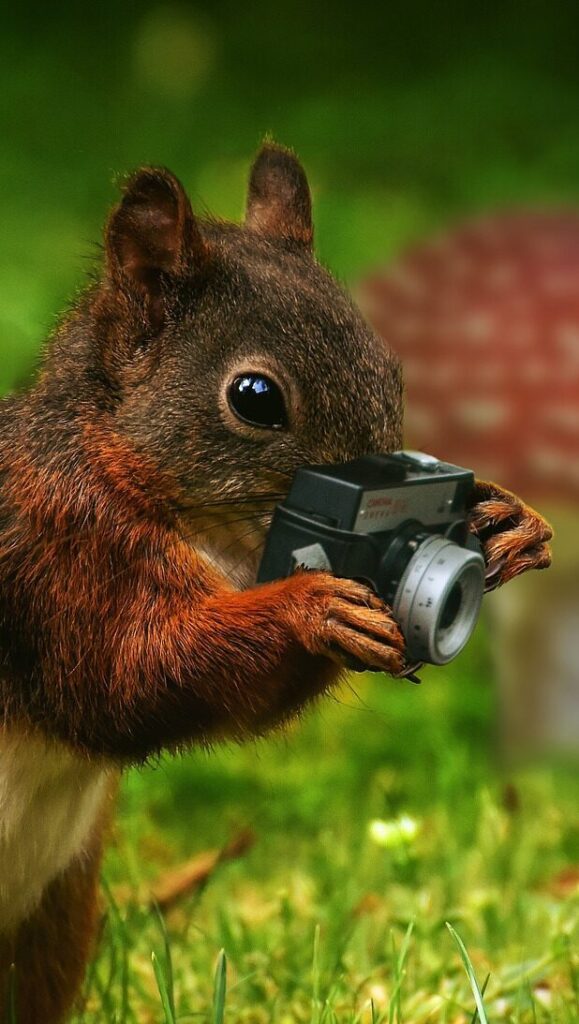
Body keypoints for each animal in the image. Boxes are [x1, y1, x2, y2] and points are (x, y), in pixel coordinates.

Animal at [0, 144, 549, 1024]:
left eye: (390, 370)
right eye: (254, 398)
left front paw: (509, 519)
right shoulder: (56, 551)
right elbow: (127, 674)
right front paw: (308, 610)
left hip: (50, 922)